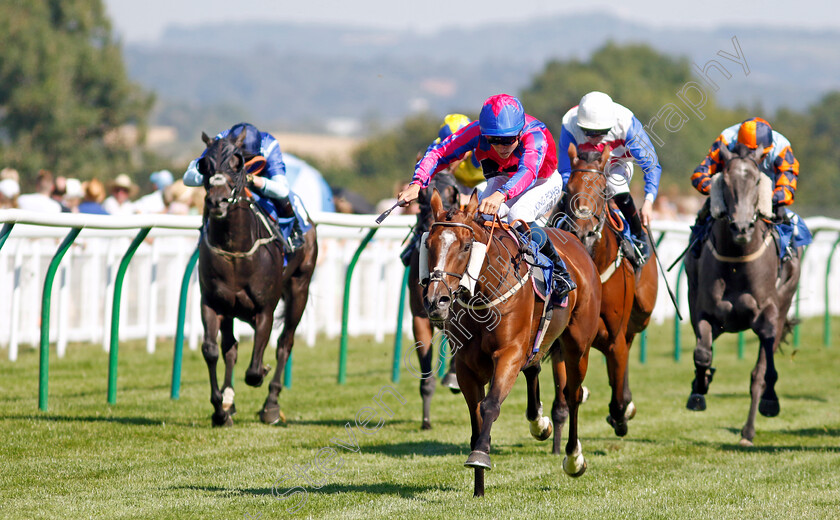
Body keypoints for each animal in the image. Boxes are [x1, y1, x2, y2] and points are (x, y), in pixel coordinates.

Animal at [197, 130, 318, 426]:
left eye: (237, 163)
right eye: (204, 165)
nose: (216, 201)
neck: (235, 251)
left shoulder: (265, 309)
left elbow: (254, 370)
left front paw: (262, 372)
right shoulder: (212, 303)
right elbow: (212, 350)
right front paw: (220, 409)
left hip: (300, 288)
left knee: (285, 343)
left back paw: (271, 405)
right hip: (230, 309)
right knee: (230, 348)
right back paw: (229, 401)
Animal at [426, 190, 604, 496]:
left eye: (465, 247)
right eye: (428, 244)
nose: (437, 301)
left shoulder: (508, 353)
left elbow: (490, 405)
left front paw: (480, 456)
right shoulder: (466, 365)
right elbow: (476, 417)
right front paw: (479, 487)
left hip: (577, 345)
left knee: (573, 394)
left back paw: (573, 458)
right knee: (533, 368)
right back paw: (539, 423)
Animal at [548, 144, 660, 436]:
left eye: (601, 189)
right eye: (568, 190)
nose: (583, 233)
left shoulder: (614, 337)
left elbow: (618, 399)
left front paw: (621, 414)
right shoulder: (564, 341)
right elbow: (563, 395)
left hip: (641, 312)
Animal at [684, 143, 804, 446]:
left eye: (757, 181)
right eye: (725, 182)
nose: (741, 227)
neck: (737, 262)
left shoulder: (768, 315)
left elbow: (763, 370)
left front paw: (769, 402)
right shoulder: (703, 312)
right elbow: (702, 354)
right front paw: (699, 390)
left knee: (760, 372)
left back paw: (750, 428)